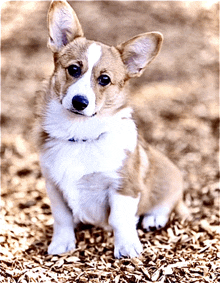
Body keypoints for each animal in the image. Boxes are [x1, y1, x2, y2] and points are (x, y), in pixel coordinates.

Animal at [34, 0, 189, 258]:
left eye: (104, 79)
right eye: (74, 69)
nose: (80, 102)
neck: (79, 134)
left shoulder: (123, 186)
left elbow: (120, 220)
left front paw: (127, 247)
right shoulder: (53, 186)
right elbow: (62, 218)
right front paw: (61, 243)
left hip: (169, 180)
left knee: (168, 203)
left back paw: (154, 218)